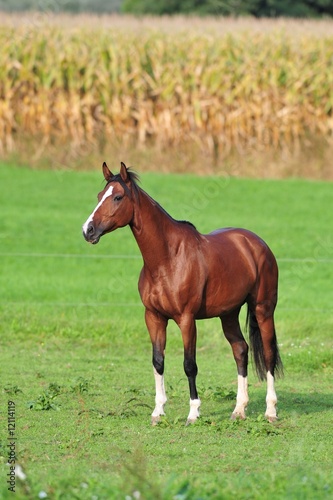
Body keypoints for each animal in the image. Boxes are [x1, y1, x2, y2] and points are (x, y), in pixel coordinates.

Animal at [81, 162, 282, 424]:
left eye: (117, 197)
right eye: (98, 196)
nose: (88, 230)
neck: (167, 259)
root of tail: (257, 244)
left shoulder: (186, 319)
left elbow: (189, 364)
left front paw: (193, 412)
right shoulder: (154, 317)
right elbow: (158, 361)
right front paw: (158, 411)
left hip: (263, 309)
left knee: (268, 354)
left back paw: (270, 410)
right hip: (228, 313)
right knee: (240, 350)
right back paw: (239, 409)